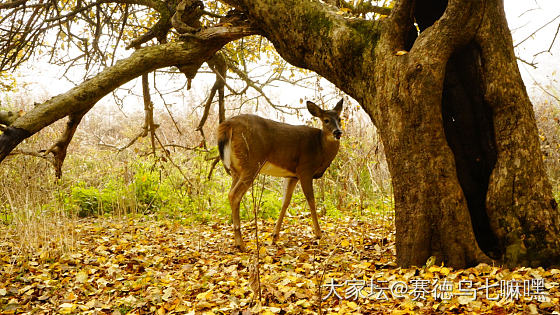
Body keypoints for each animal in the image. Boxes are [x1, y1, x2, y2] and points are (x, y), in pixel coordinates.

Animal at [218, 99, 342, 252]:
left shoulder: (292, 175)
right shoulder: (305, 169)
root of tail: (227, 124)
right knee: (234, 195)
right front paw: (319, 234)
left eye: (339, 119)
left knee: (230, 193)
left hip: (237, 169)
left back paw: (238, 241)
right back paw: (240, 244)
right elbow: (311, 201)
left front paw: (275, 236)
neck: (320, 148)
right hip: (251, 163)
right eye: (326, 120)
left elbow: (285, 202)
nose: (338, 132)